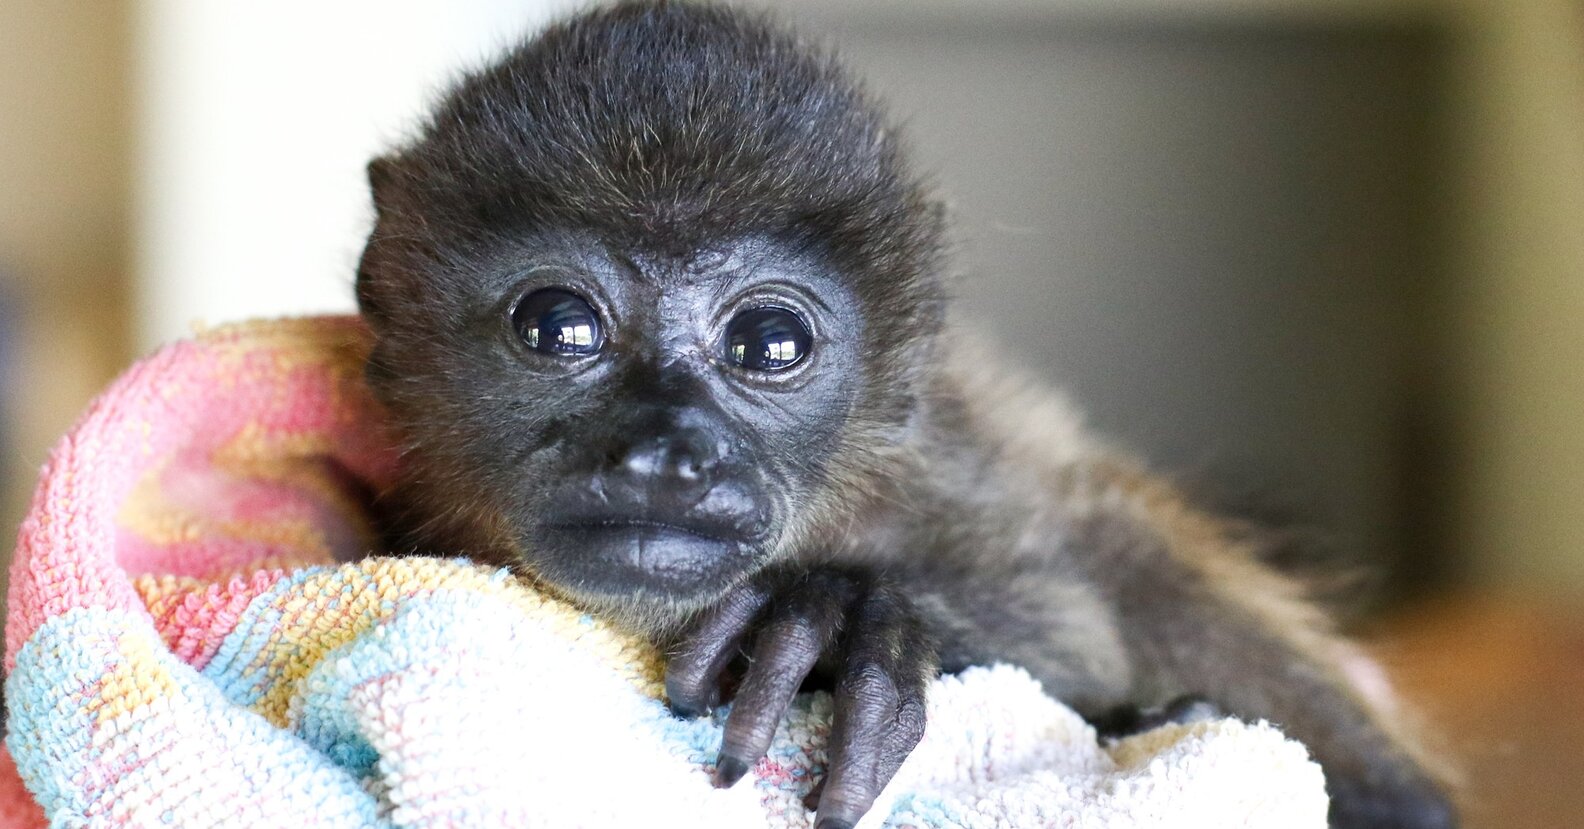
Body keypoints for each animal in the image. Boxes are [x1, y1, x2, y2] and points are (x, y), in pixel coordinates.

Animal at [352, 3, 1458, 828]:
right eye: (558, 326)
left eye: (769, 344)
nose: (667, 454)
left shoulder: (962, 477)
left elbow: (1064, 626)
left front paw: (831, 618)